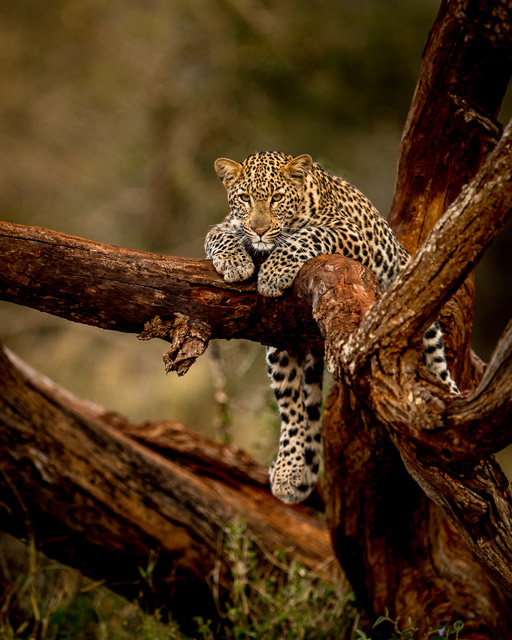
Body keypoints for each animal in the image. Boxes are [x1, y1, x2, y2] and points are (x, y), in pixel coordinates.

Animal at [205, 150, 459, 504]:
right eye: (244, 198)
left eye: (277, 198)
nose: (259, 230)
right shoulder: (226, 225)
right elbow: (219, 234)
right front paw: (235, 262)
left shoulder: (352, 235)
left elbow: (307, 235)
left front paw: (273, 273)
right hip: (282, 347)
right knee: (293, 406)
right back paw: (289, 472)